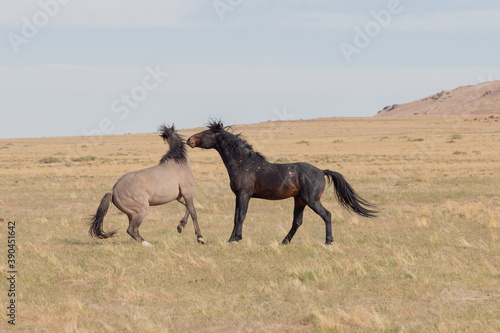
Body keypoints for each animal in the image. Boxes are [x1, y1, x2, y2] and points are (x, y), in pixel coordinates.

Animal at [188, 120, 376, 245]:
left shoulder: (244, 194)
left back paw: (328, 241)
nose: (190, 140)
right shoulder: (238, 196)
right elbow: (236, 217)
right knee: (297, 222)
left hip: (311, 200)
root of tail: (321, 171)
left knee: (327, 215)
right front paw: (231, 238)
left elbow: (240, 216)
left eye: (207, 133)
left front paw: (236, 239)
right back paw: (284, 241)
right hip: (299, 200)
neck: (243, 163)